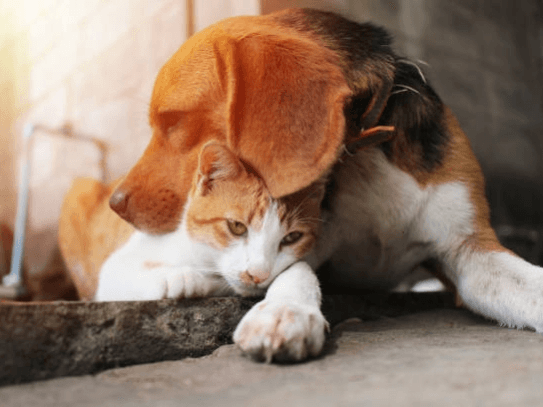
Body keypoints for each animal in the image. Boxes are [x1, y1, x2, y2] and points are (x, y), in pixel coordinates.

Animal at [59, 7, 543, 362]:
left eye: (172, 121)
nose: (116, 203)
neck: (365, 150)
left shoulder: (469, 250)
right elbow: (296, 273)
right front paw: (284, 314)